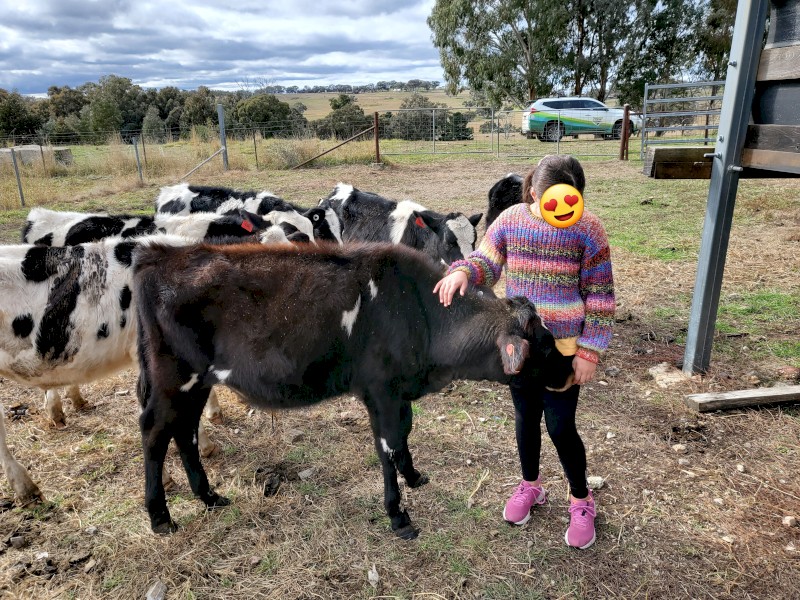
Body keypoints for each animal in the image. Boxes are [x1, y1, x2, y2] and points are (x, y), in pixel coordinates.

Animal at [133, 241, 574, 539]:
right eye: (545, 344)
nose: (572, 370)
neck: (419, 311)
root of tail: (159, 255)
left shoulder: (397, 392)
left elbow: (405, 434)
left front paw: (414, 476)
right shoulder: (380, 390)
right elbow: (388, 447)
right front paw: (398, 516)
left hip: (196, 384)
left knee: (186, 433)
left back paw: (209, 497)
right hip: (173, 378)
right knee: (155, 434)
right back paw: (160, 517)